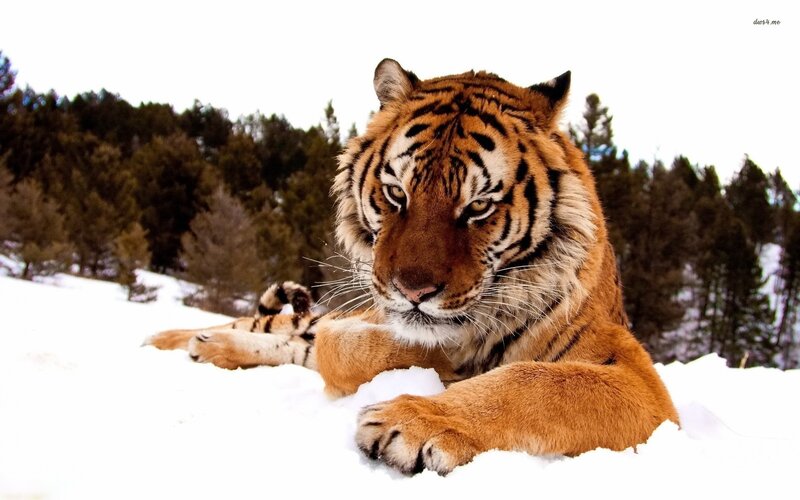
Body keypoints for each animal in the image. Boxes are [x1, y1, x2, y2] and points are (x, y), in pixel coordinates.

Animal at [145, 58, 679, 475]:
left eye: (478, 207)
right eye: (396, 194)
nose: (413, 291)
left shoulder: (639, 380)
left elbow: (535, 383)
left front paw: (413, 420)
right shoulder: (361, 321)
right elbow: (352, 346)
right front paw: (439, 364)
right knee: (262, 325)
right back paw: (174, 340)